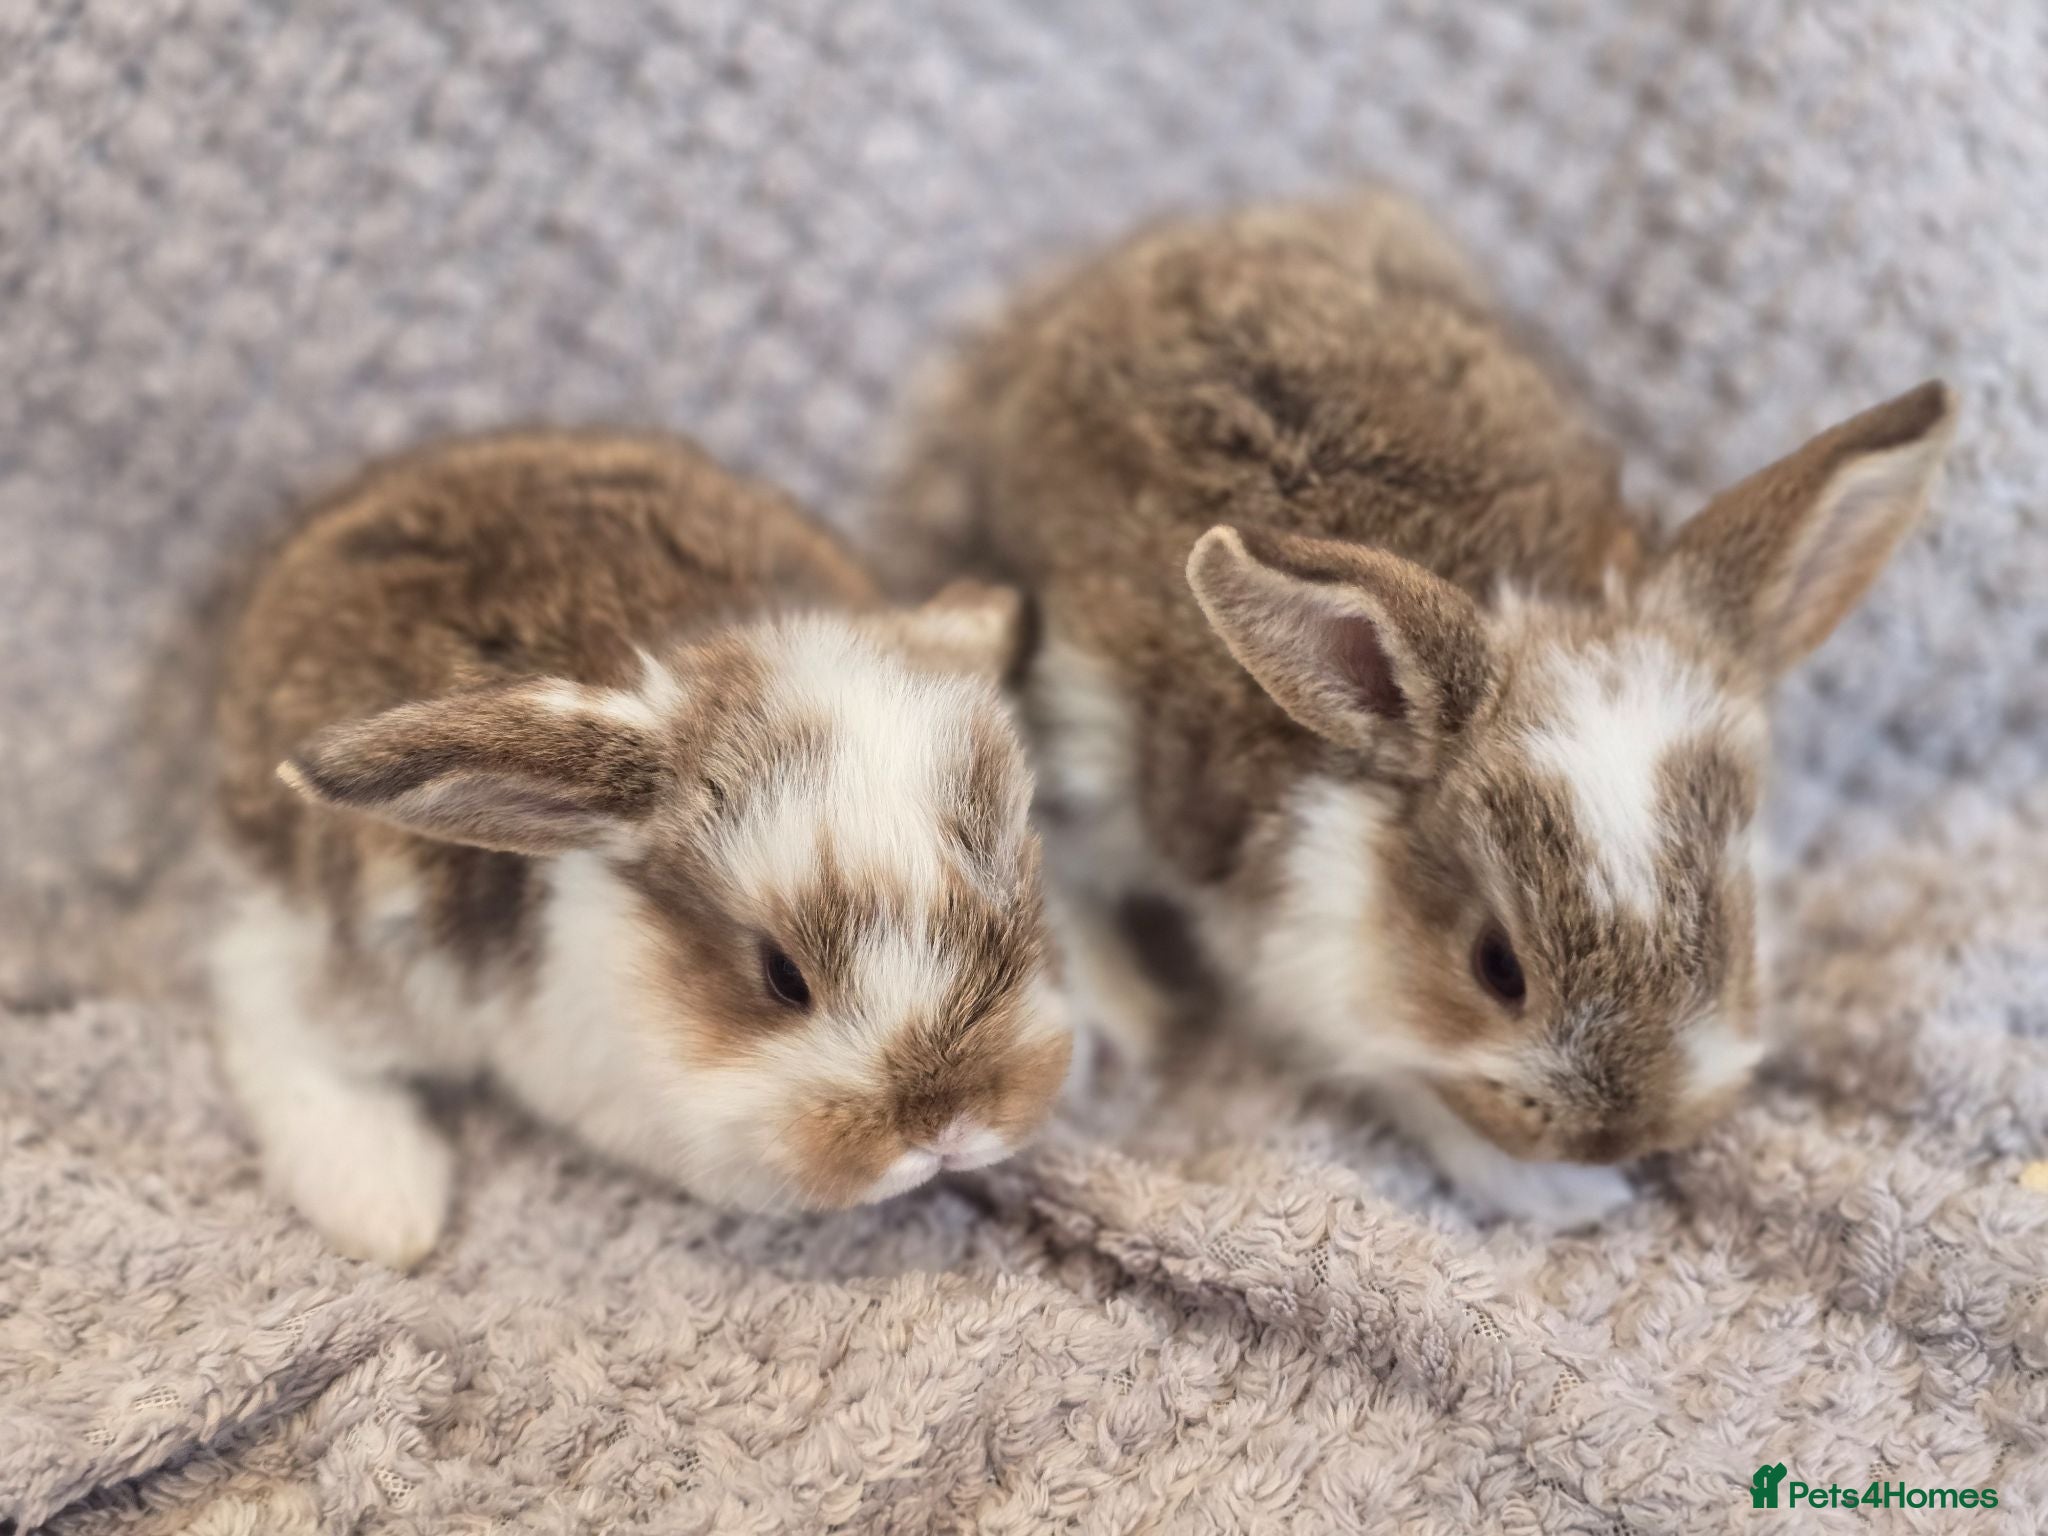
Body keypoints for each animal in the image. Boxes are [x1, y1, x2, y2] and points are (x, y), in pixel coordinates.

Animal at [886, 193, 1956, 1228]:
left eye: (1730, 936)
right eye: (1496, 969)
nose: (1617, 1131)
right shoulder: (1301, 982)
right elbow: (1419, 1097)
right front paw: (1568, 1200)